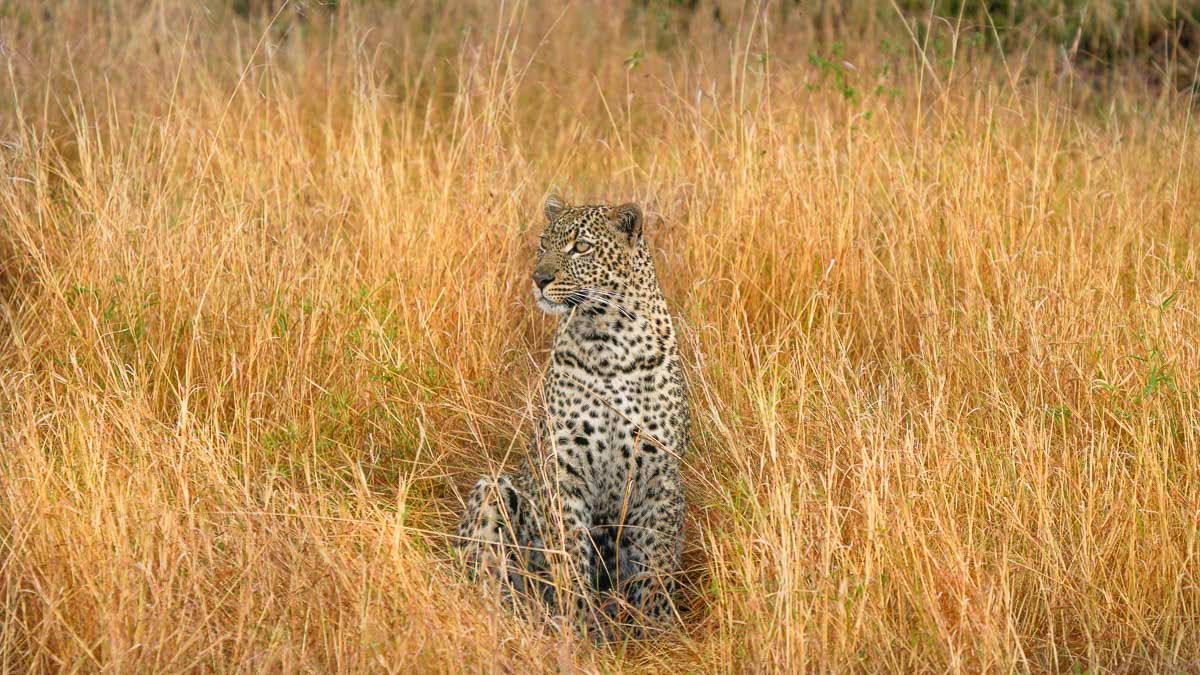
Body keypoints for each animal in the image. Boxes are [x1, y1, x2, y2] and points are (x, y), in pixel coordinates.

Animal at [453, 190, 691, 634]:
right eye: (543, 244)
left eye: (580, 247)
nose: (539, 279)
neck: (610, 340)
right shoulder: (564, 469)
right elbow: (570, 554)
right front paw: (579, 625)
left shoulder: (660, 473)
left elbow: (657, 560)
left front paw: (657, 628)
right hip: (494, 490)